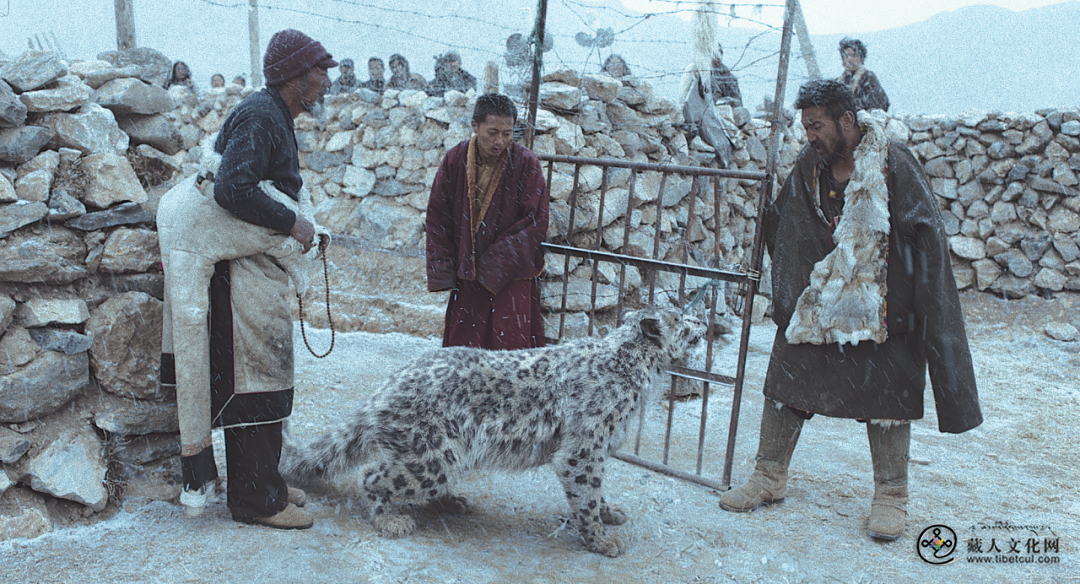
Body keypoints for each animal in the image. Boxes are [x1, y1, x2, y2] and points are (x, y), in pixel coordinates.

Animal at [280, 304, 699, 557]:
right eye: (682, 317)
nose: (702, 319)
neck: (640, 373)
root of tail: (383, 389)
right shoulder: (584, 449)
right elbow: (586, 493)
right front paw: (601, 539)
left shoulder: (600, 447)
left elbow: (598, 491)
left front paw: (610, 514)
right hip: (433, 458)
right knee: (372, 475)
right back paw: (390, 520)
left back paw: (453, 501)